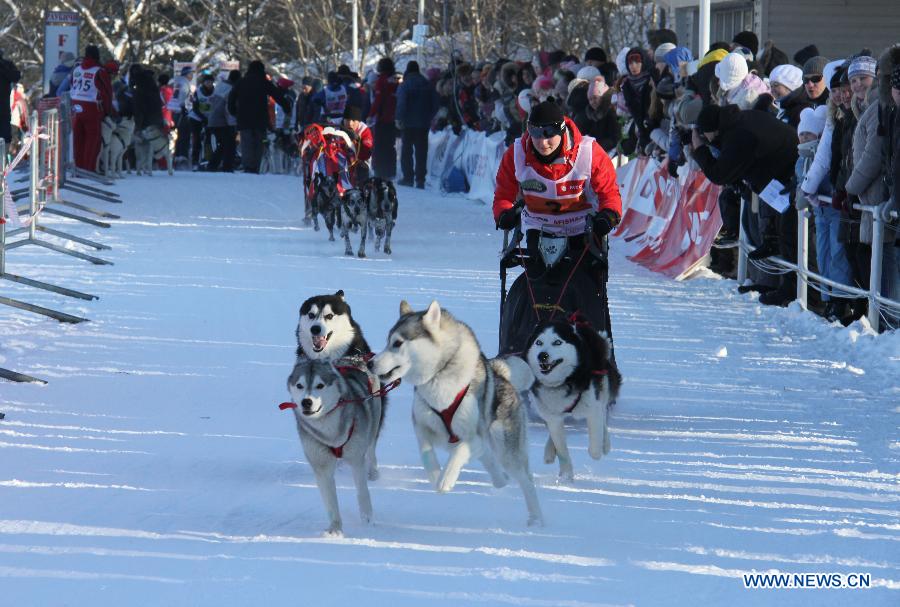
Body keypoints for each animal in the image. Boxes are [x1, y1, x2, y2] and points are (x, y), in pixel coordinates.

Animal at [286, 358, 382, 536]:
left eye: (320, 385)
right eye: (300, 385)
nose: (306, 402)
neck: (331, 435)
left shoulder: (356, 459)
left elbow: (363, 493)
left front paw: (367, 520)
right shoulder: (321, 465)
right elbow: (331, 502)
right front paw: (335, 529)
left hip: (374, 422)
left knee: (371, 449)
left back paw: (373, 472)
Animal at [370, 302, 540, 524]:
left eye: (397, 343)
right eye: (387, 341)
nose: (370, 363)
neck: (439, 376)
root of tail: (501, 373)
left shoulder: (473, 437)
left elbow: (459, 451)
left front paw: (445, 479)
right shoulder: (422, 426)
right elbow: (426, 453)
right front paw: (435, 476)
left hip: (507, 451)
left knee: (526, 481)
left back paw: (537, 519)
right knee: (490, 460)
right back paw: (500, 480)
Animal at [524, 318, 624, 484]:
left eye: (557, 342)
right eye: (539, 342)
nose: (542, 355)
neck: (565, 380)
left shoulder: (593, 408)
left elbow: (594, 448)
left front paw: (599, 448)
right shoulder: (553, 416)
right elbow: (562, 450)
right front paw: (566, 476)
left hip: (603, 386)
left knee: (603, 413)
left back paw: (605, 443)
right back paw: (549, 451)